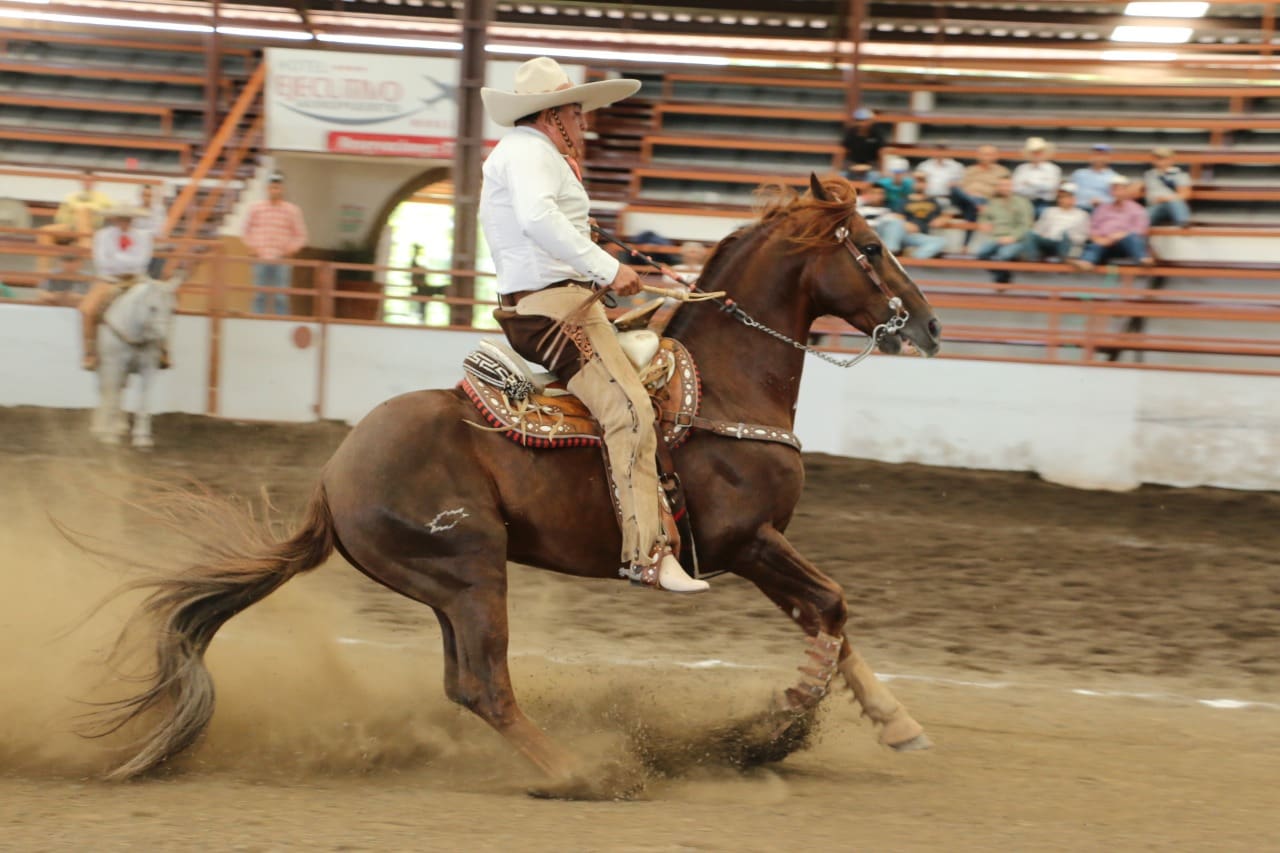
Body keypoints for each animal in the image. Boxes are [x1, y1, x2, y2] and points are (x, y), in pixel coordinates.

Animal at [89, 277, 177, 450]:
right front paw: (109, 437)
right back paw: (100, 427)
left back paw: (120, 426)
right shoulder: (114, 365)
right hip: (102, 366)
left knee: (119, 391)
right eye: (152, 308)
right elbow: (111, 397)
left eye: (172, 309)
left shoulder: (148, 368)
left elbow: (144, 401)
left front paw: (142, 439)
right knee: (105, 391)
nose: (162, 339)